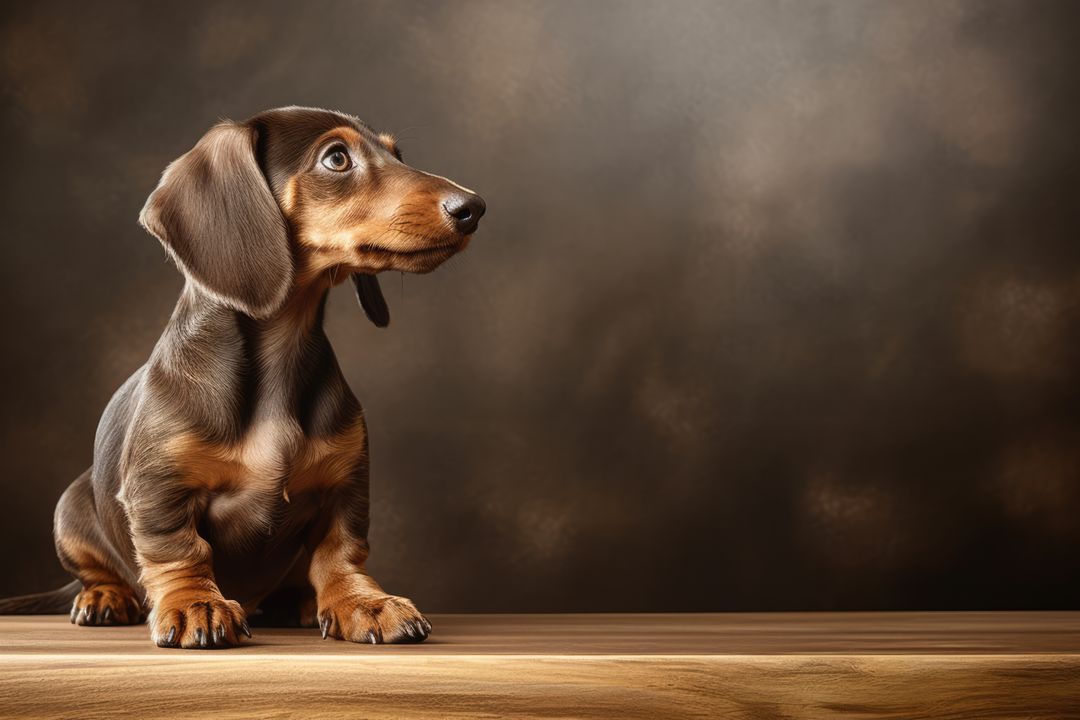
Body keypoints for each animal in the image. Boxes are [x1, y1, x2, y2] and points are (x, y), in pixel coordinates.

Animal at [0, 108, 486, 651]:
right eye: (337, 158)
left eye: (397, 154)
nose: (473, 208)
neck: (280, 354)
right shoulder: (158, 489)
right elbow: (180, 550)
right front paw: (196, 604)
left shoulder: (346, 486)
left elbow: (341, 552)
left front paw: (364, 602)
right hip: (70, 508)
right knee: (100, 569)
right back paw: (105, 596)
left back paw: (298, 601)